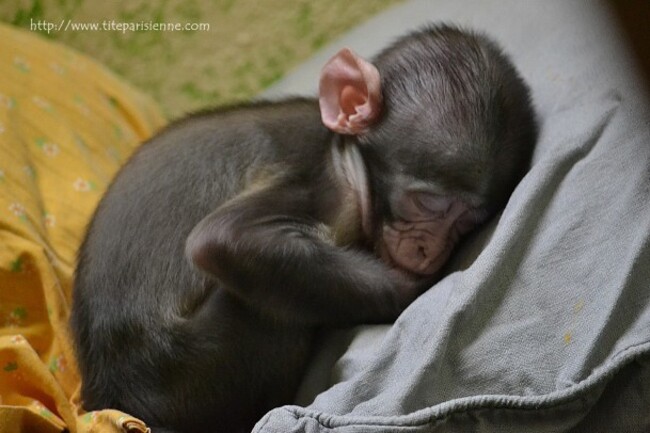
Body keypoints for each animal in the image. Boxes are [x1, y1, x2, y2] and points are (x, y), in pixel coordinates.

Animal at [71, 24, 536, 432]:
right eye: (428, 202)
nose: (431, 251)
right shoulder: (323, 182)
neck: (344, 152)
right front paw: (415, 287)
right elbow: (224, 240)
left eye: (465, 223)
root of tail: (111, 396)